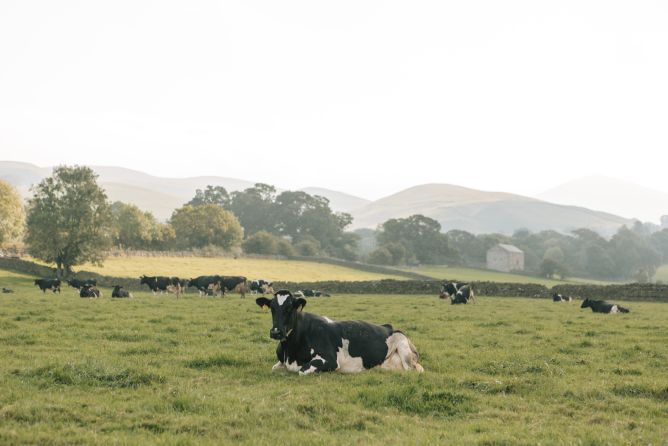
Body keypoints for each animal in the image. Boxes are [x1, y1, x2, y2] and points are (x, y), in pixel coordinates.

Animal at [255, 290, 424, 375]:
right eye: (272, 308)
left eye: (290, 308)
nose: (275, 332)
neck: (290, 352)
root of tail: (388, 326)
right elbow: (274, 368)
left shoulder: (330, 360)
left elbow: (302, 371)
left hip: (405, 350)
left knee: (414, 370)